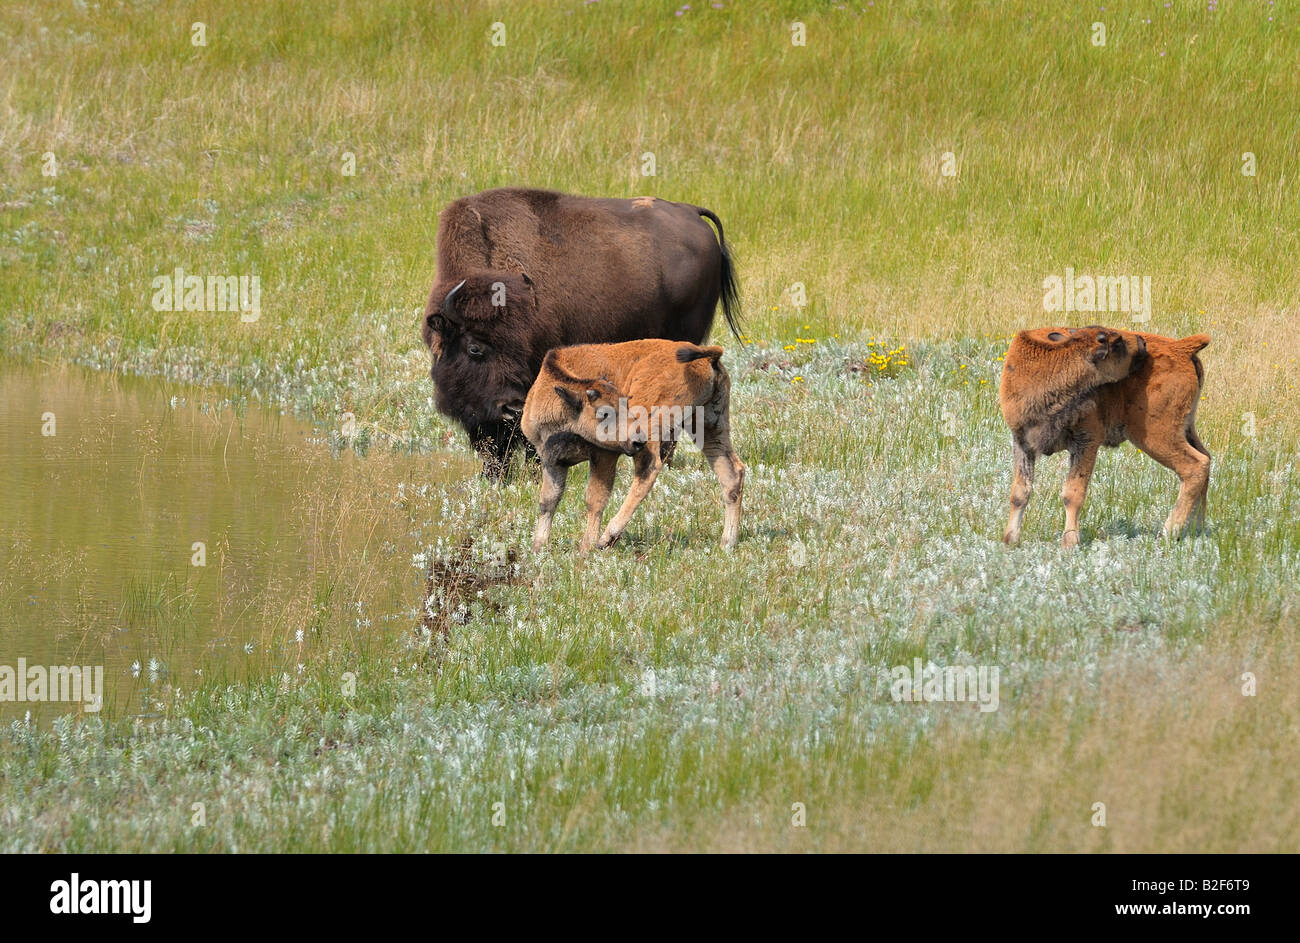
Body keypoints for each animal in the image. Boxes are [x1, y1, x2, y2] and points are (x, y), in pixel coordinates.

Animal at [517, 338, 743, 551]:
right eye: (604, 412)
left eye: (624, 403)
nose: (637, 439)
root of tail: (708, 356)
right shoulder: (553, 460)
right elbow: (548, 501)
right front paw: (538, 548)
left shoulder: (604, 456)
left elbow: (595, 500)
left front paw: (586, 548)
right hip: (709, 426)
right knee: (732, 473)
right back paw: (727, 544)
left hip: (653, 428)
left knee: (648, 469)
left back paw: (607, 538)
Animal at [998, 323, 1211, 543]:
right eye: (1117, 342)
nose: (1141, 342)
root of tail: (1181, 348)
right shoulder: (1022, 443)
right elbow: (1020, 493)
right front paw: (1010, 540)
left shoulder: (1087, 442)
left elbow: (1072, 493)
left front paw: (1070, 542)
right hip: (1184, 429)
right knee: (1206, 460)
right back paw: (1196, 529)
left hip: (1155, 437)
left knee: (1195, 466)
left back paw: (1169, 532)